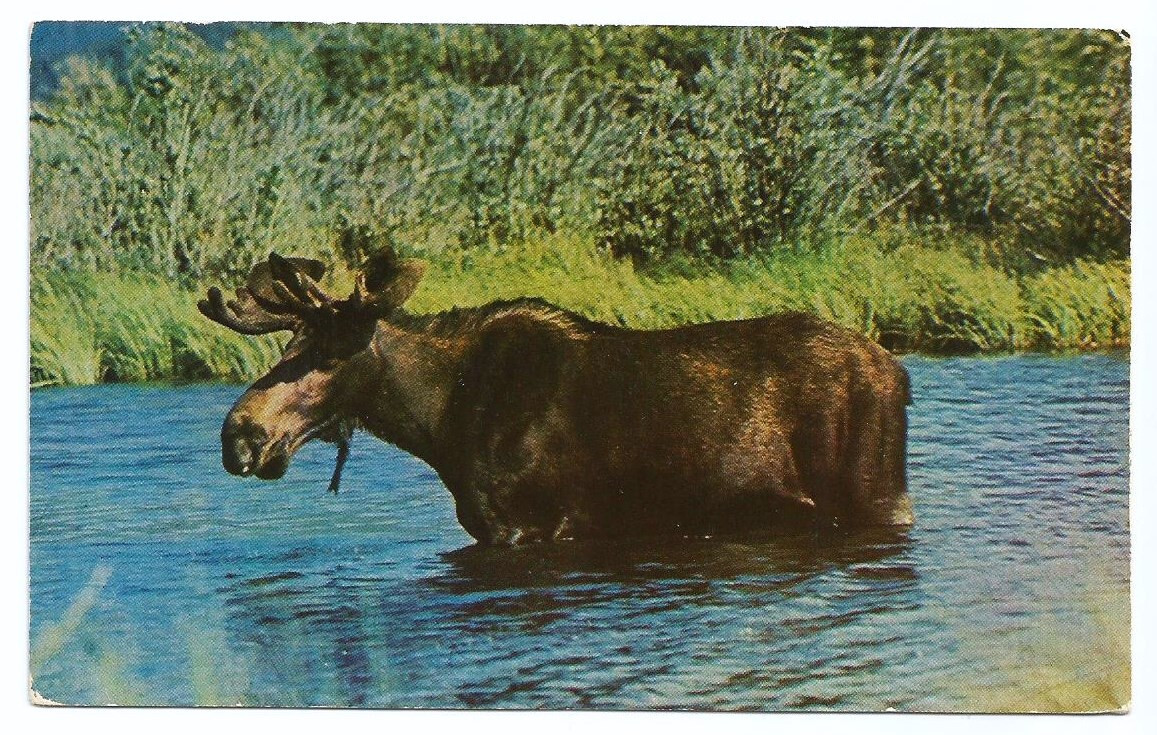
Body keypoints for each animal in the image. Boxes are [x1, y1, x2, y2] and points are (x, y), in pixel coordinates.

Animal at [199, 249, 913, 546]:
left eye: (326, 354)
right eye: (285, 346)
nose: (239, 433)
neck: (437, 422)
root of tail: (899, 375)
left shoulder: (534, 523)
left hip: (875, 495)